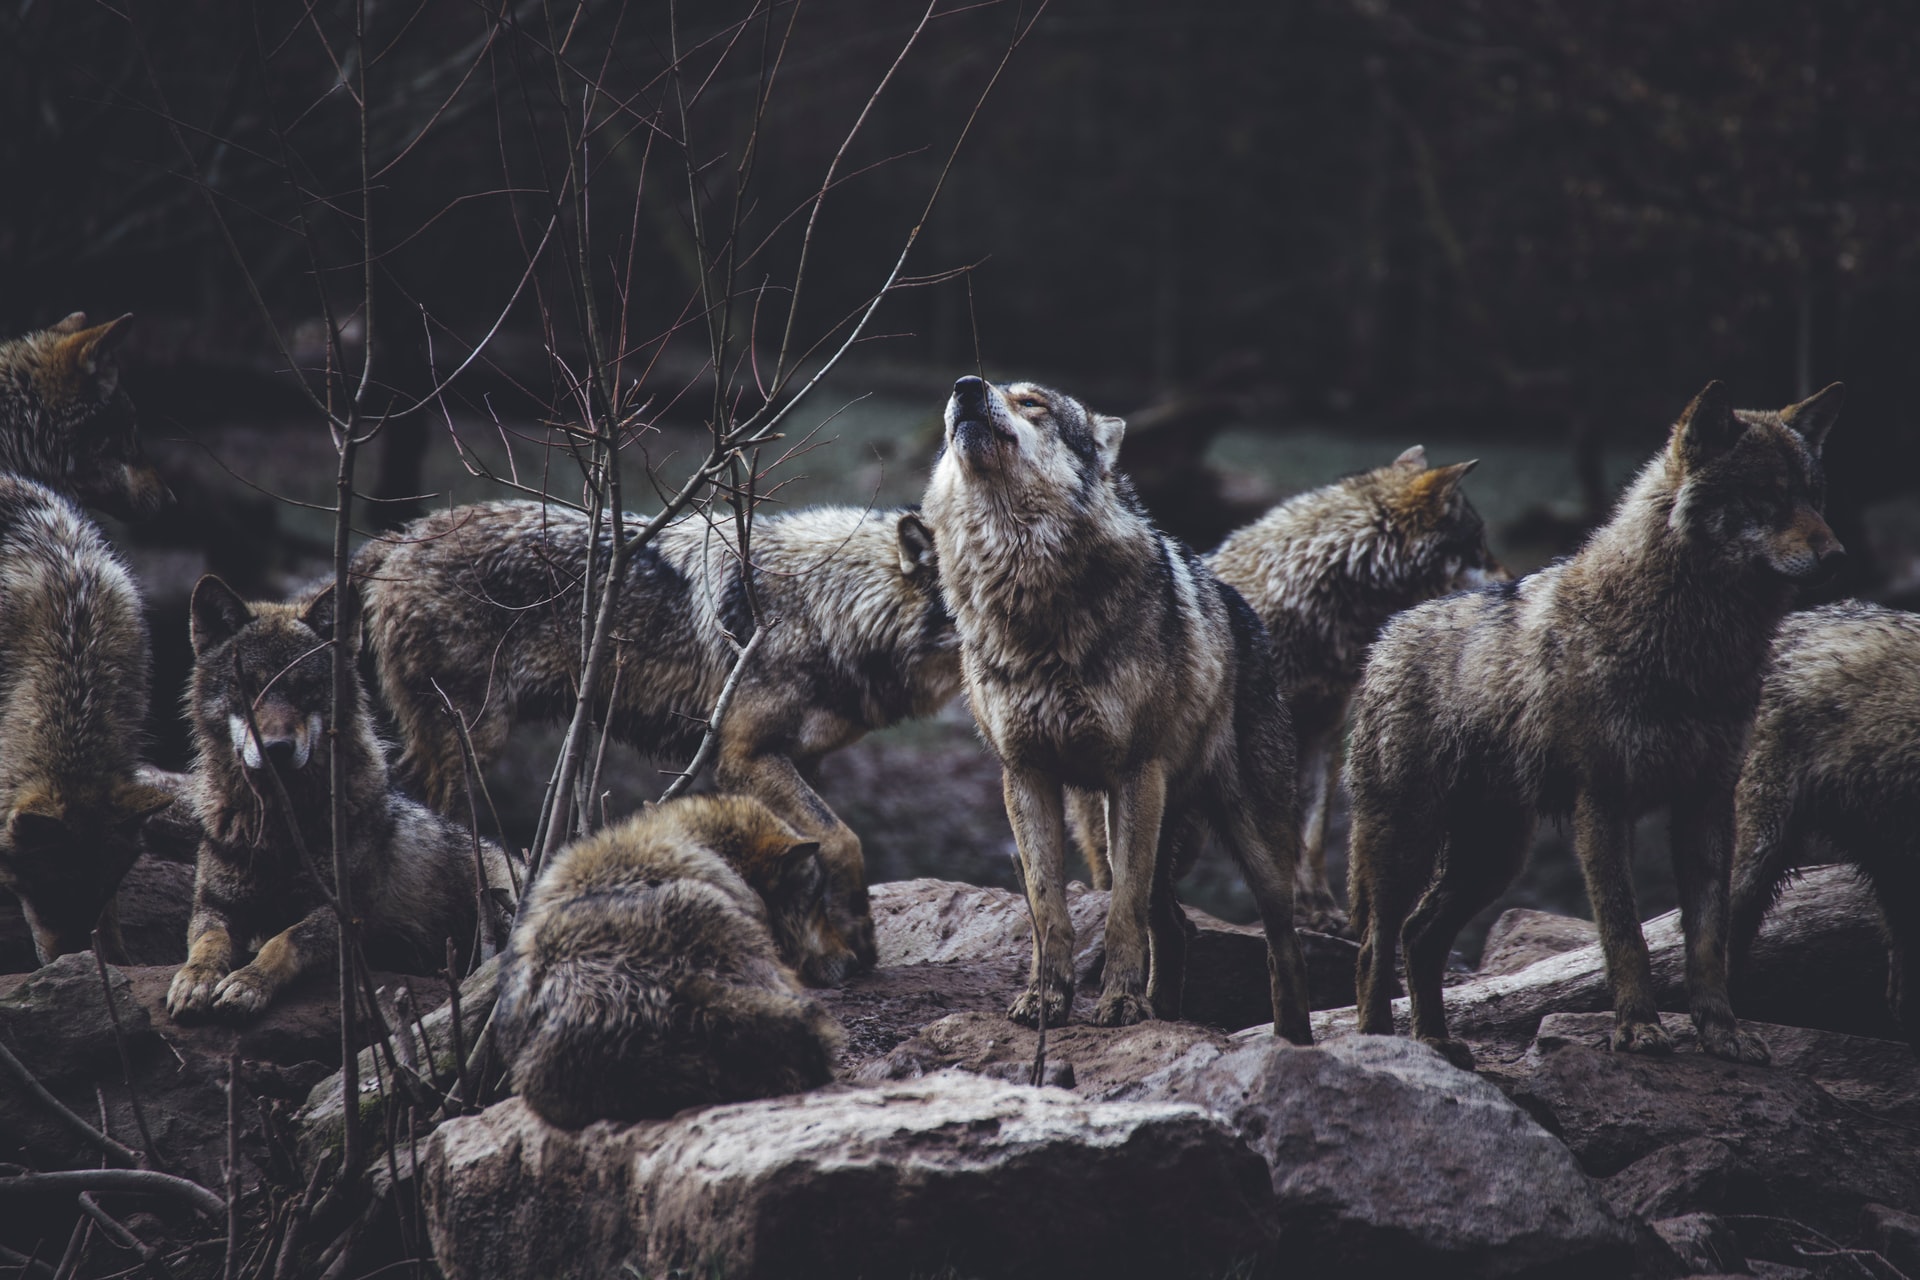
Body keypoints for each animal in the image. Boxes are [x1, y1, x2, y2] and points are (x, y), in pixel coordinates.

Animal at [166, 576, 520, 1021]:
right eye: (248, 686)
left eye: (306, 688)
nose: (276, 749)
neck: (280, 830)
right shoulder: (214, 906)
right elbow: (209, 942)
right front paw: (194, 979)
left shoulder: (342, 914)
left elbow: (282, 941)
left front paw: (248, 983)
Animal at [354, 501, 959, 978]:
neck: (827, 606)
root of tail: (400, 536)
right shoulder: (744, 756)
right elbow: (843, 839)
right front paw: (857, 939)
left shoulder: (802, 761)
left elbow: (815, 849)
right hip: (473, 743)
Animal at [922, 374, 1312, 1039]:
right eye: (978, 389)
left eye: (1033, 403)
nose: (966, 386)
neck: (1027, 592)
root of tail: (1243, 608)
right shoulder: (1025, 775)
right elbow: (1048, 910)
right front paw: (1045, 1001)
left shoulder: (1133, 773)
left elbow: (1121, 914)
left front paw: (1123, 1005)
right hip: (1115, 825)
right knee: (1176, 926)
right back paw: (1168, 1013)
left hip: (1248, 840)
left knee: (1281, 946)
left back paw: (1292, 1041)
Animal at [1078, 446, 1505, 936]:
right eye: (1478, 544)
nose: (1513, 580)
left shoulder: (1324, 732)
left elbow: (1312, 839)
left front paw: (1320, 910)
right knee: (1110, 874)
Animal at [1347, 381, 1844, 1069]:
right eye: (1766, 496)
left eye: (1814, 498)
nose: (1837, 555)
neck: (1691, 646)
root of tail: (1387, 634)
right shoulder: (1602, 804)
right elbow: (1624, 932)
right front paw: (1638, 1029)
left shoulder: (1708, 804)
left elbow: (1708, 941)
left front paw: (1722, 1033)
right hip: (1408, 843)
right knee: (1377, 942)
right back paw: (1381, 1044)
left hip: (1494, 858)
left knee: (1420, 935)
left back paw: (1436, 1044)